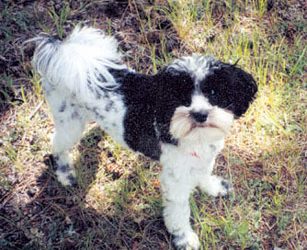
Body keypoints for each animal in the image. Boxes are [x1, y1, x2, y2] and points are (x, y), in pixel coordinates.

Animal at [30, 26, 258, 249]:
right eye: (180, 97)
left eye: (214, 93)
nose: (200, 114)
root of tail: (64, 51)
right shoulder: (174, 178)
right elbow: (179, 210)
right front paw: (183, 237)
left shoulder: (203, 156)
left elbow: (204, 172)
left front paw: (212, 187)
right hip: (70, 123)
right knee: (57, 144)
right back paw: (64, 172)